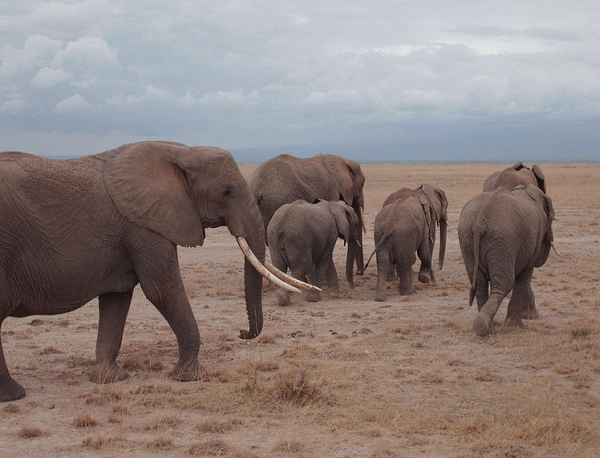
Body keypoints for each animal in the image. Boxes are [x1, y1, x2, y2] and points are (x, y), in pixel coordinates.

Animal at [0, 140, 310, 400]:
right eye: (227, 191)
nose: (242, 333)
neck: (181, 152)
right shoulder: (144, 227)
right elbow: (162, 290)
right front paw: (188, 376)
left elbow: (117, 299)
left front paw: (109, 378)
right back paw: (14, 394)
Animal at [460, 183, 556, 336]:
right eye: (553, 218)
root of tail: (481, 221)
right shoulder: (534, 237)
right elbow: (525, 274)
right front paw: (516, 326)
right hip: (503, 240)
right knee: (504, 284)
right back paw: (484, 327)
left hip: (467, 239)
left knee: (480, 285)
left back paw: (487, 327)